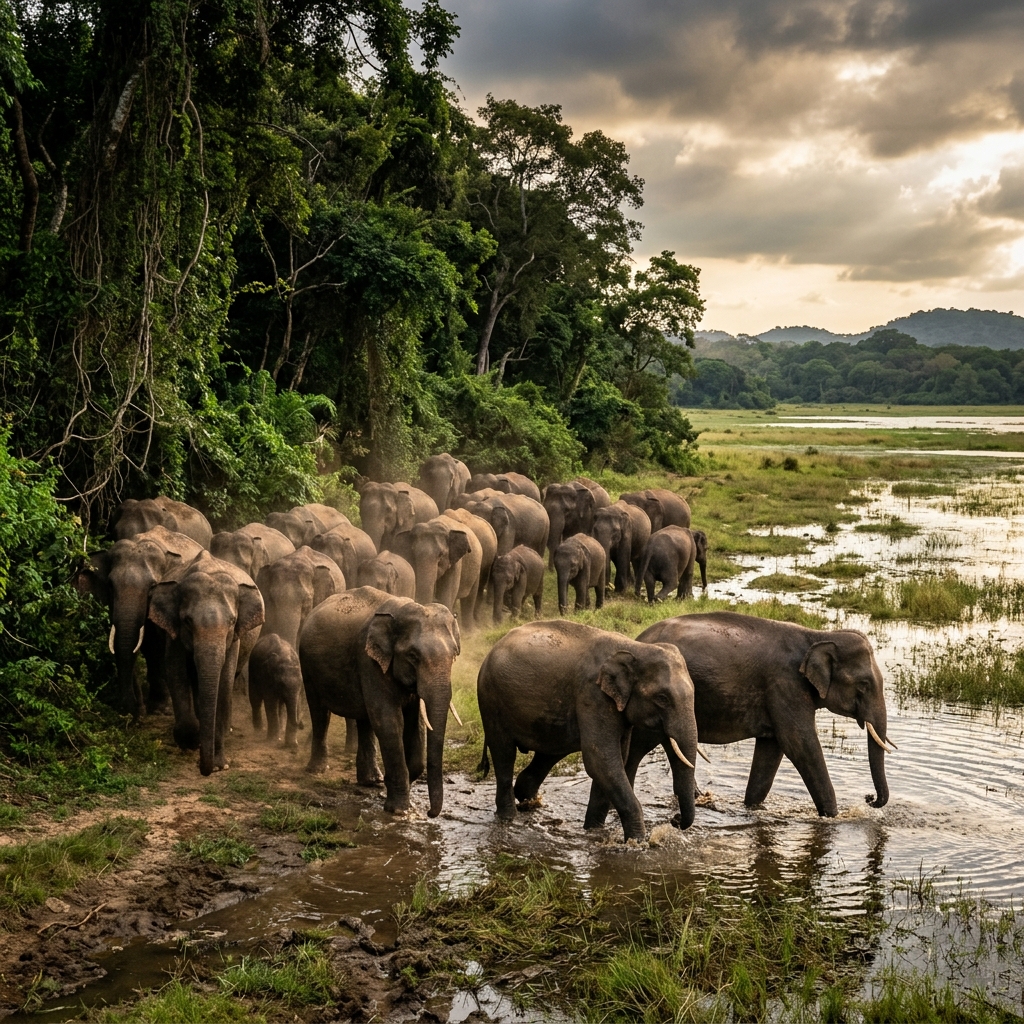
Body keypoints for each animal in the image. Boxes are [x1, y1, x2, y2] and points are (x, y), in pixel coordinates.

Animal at [77, 525, 204, 718]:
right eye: (110, 585)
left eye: (152, 587)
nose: (133, 711)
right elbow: (141, 645)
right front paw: (145, 708)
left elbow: (155, 646)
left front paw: (161, 709)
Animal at [147, 551, 265, 775]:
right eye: (187, 621)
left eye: (232, 621)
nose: (204, 770)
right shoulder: (174, 634)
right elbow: (176, 673)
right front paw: (191, 740)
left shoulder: (234, 638)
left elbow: (224, 682)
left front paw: (220, 765)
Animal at [299, 587, 461, 817]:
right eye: (413, 655)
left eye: (454, 655)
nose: (430, 813)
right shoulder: (369, 661)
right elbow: (389, 722)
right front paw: (399, 810)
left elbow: (414, 722)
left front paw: (396, 787)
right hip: (307, 665)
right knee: (320, 712)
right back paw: (317, 770)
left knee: (365, 718)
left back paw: (371, 781)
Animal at [476, 620, 699, 839]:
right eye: (662, 698)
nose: (675, 820)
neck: (635, 648)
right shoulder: (593, 694)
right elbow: (600, 759)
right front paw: (636, 841)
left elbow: (616, 758)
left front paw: (594, 830)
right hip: (490, 699)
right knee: (504, 753)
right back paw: (508, 818)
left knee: (548, 753)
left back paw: (527, 800)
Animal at [620, 612, 894, 819]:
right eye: (864, 685)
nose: (869, 798)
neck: (818, 635)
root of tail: (638, 638)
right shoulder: (785, 685)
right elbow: (800, 744)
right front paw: (833, 818)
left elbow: (772, 749)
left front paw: (752, 808)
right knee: (638, 746)